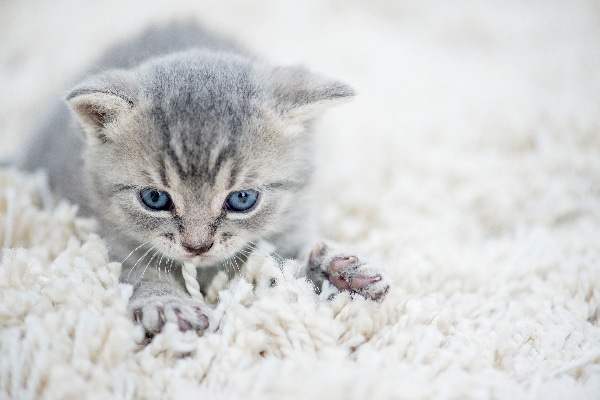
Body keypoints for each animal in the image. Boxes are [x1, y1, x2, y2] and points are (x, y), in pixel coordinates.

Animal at [19, 23, 390, 336]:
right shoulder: (112, 239)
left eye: (242, 199)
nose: (197, 246)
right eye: (155, 198)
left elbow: (288, 267)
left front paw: (338, 272)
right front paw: (164, 301)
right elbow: (138, 272)